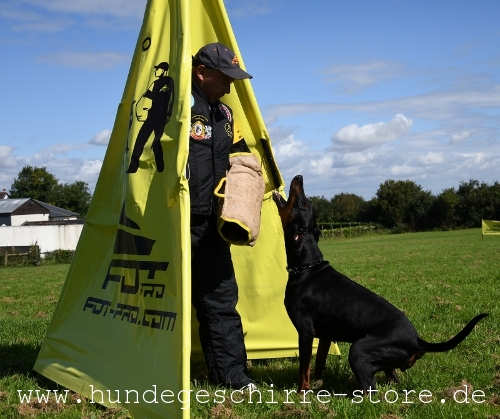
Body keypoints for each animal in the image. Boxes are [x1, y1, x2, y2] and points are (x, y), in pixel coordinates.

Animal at [274, 174, 488, 394]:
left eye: (302, 203)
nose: (299, 177)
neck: (308, 268)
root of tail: (417, 341)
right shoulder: (325, 335)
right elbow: (318, 364)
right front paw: (317, 385)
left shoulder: (305, 332)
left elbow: (304, 369)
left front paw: (302, 393)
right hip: (383, 362)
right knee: (392, 377)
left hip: (358, 352)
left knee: (371, 390)